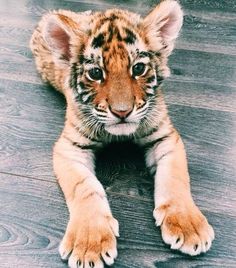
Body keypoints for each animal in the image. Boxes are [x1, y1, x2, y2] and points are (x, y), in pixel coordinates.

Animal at [29, 1, 214, 266]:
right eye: (96, 73)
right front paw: (89, 244)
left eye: (138, 68)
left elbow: (176, 177)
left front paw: (189, 226)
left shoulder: (166, 136)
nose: (122, 112)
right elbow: (84, 187)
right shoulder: (69, 147)